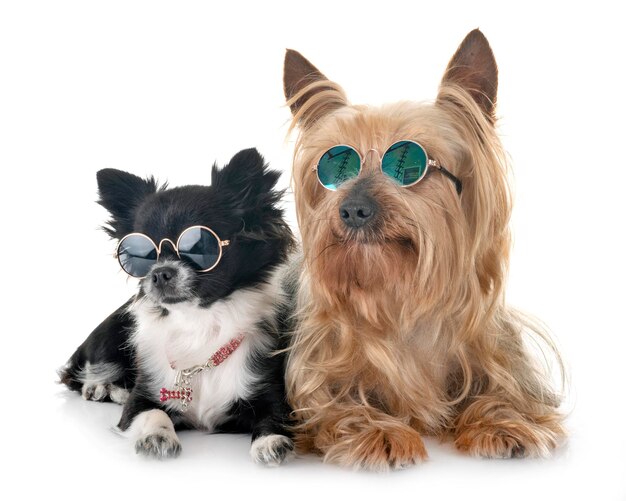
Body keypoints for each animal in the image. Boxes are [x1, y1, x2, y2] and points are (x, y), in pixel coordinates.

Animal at [280, 30, 564, 468]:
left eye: (406, 162)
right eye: (335, 166)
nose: (353, 208)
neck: (402, 293)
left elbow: (505, 397)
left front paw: (504, 423)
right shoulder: (317, 374)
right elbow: (337, 408)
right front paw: (378, 431)